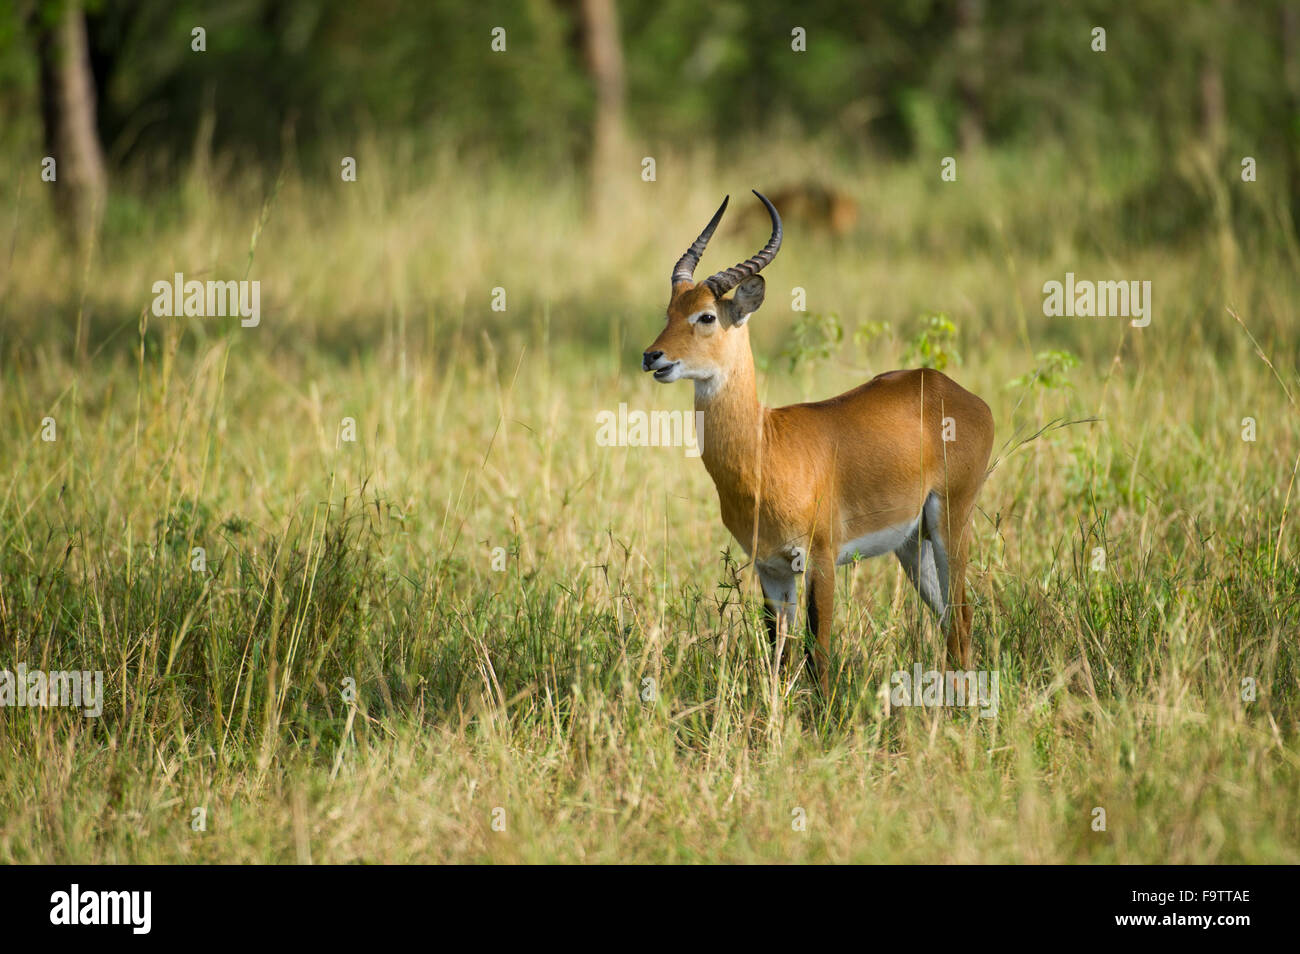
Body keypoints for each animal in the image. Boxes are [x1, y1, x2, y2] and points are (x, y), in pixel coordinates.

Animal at [642, 192, 993, 696]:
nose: (652, 356)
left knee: (963, 616)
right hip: (913, 544)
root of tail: (960, 393)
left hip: (952, 521)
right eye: (668, 312)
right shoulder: (770, 568)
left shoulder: (821, 559)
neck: (767, 447)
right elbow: (778, 653)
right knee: (949, 619)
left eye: (706, 315)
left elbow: (818, 651)